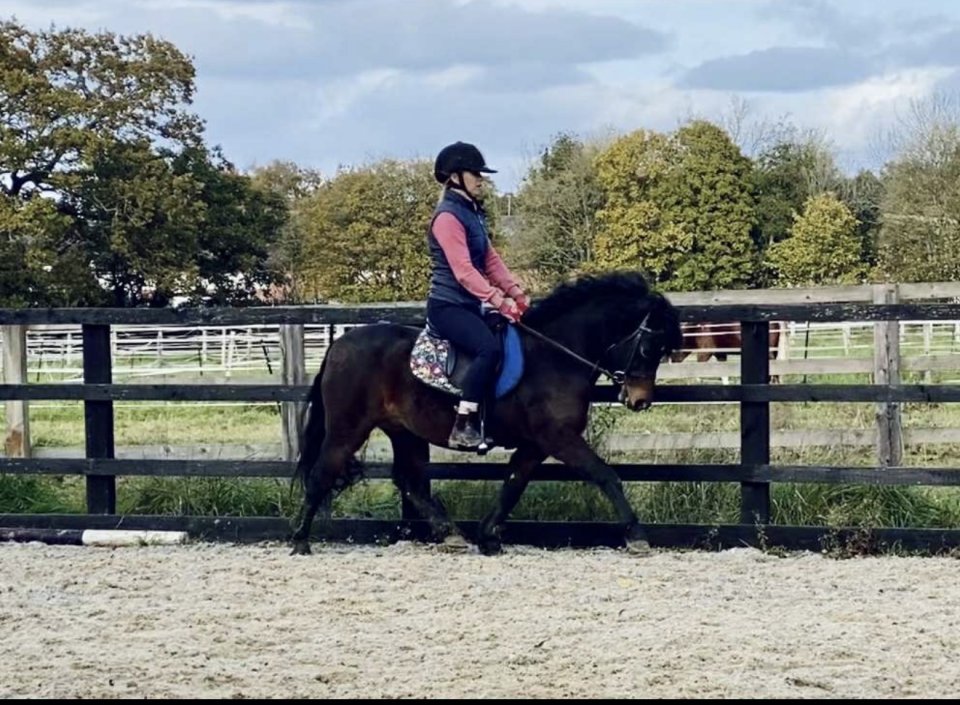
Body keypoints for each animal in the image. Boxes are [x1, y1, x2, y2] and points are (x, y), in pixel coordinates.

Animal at [290, 271, 684, 556]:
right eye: (649, 347)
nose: (640, 400)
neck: (556, 356)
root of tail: (339, 344)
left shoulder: (535, 444)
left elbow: (513, 485)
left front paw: (488, 536)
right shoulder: (558, 437)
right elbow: (605, 475)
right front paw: (636, 536)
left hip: (404, 431)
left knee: (408, 481)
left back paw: (451, 535)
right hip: (348, 427)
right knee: (323, 474)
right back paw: (300, 540)